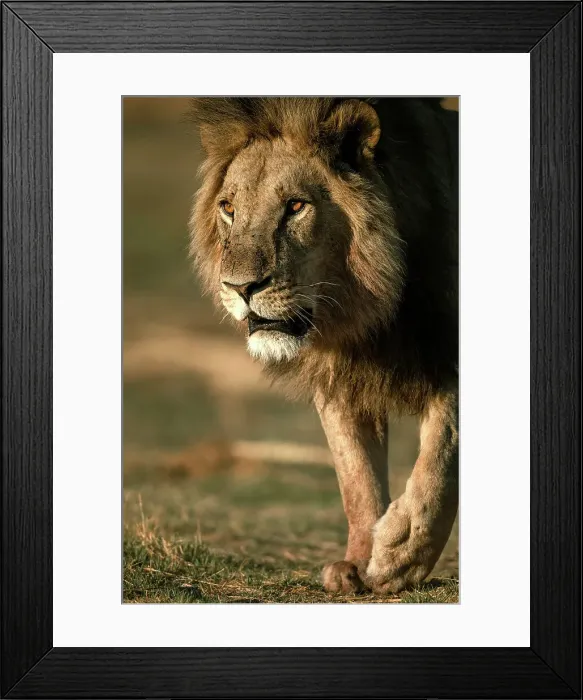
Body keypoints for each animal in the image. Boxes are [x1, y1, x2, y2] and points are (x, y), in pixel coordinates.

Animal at [188, 98, 458, 594]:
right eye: (229, 207)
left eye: (296, 206)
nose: (239, 288)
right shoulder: (338, 375)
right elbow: (355, 471)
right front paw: (357, 564)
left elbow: (442, 453)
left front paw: (401, 554)